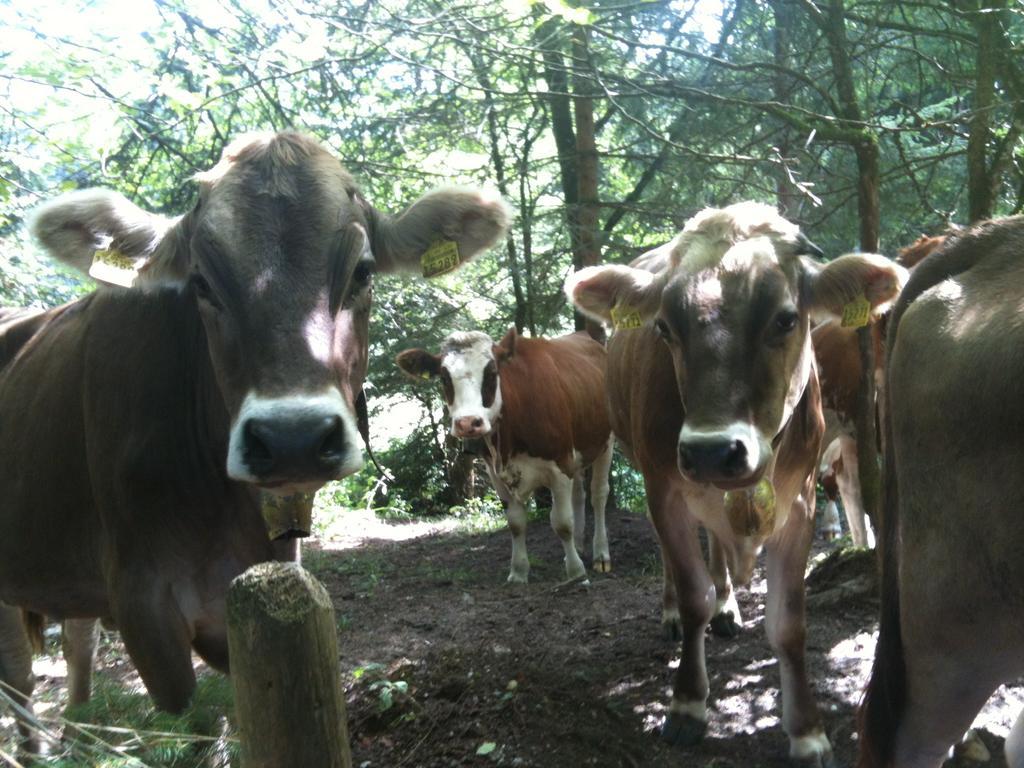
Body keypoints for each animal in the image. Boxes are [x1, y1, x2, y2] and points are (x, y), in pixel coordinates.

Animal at [395, 329, 610, 581]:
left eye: (492, 373)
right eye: (444, 378)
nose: (468, 423)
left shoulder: (559, 464)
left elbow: (562, 523)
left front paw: (576, 573)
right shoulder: (495, 473)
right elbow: (516, 523)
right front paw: (518, 571)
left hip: (605, 441)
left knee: (598, 495)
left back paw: (601, 555)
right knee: (579, 494)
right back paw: (577, 547)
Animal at [565, 201, 909, 765]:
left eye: (786, 319)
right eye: (665, 327)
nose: (711, 450)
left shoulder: (802, 500)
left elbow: (789, 624)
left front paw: (807, 731)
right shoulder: (665, 488)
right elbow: (692, 594)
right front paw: (687, 703)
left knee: (718, 545)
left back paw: (728, 605)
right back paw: (679, 615)